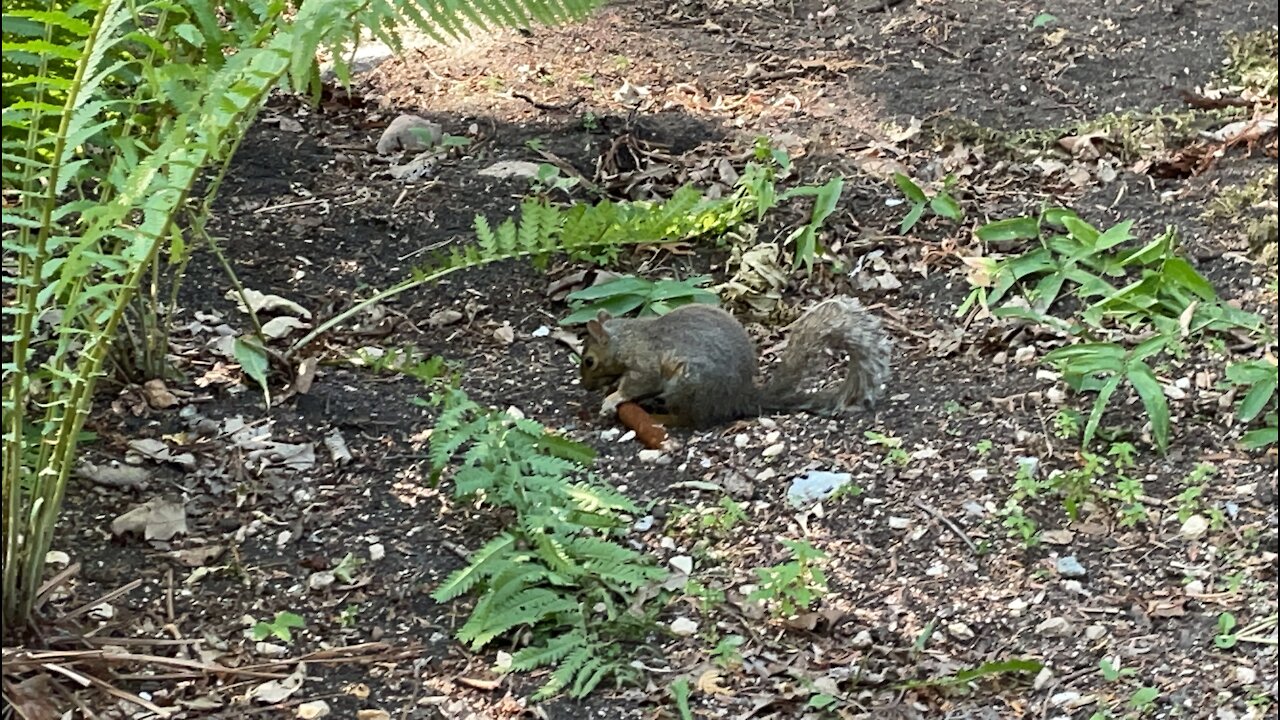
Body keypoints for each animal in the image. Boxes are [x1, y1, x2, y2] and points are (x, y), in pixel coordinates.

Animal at [581, 297, 890, 425]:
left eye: (588, 361)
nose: (586, 386)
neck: (625, 338)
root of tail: (739, 397)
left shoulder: (645, 362)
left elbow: (638, 383)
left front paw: (613, 398)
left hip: (687, 385)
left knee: (689, 420)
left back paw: (661, 418)